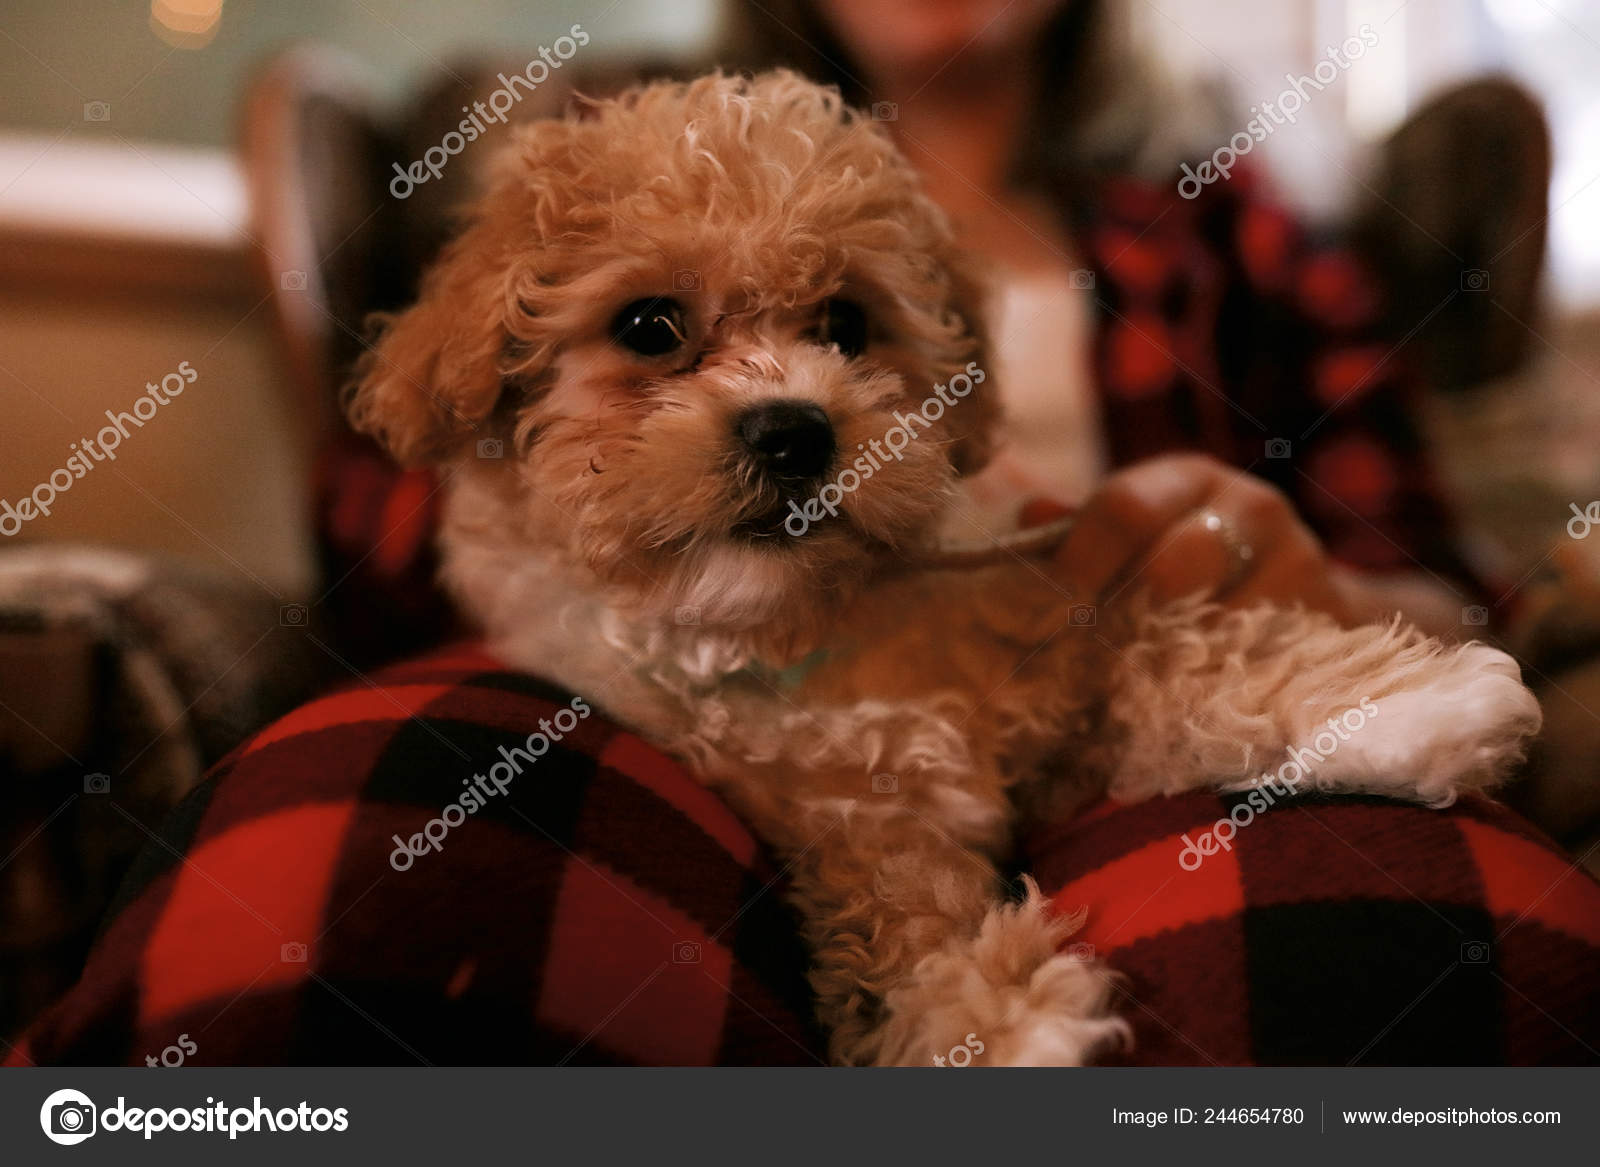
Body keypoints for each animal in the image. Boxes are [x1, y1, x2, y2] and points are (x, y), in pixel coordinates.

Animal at [347, 68, 1536, 1062]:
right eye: (648, 325)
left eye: (845, 322)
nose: (795, 431)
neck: (804, 625)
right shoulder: (845, 823)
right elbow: (897, 920)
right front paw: (993, 1023)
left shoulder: (1063, 614)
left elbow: (1183, 645)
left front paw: (1402, 701)